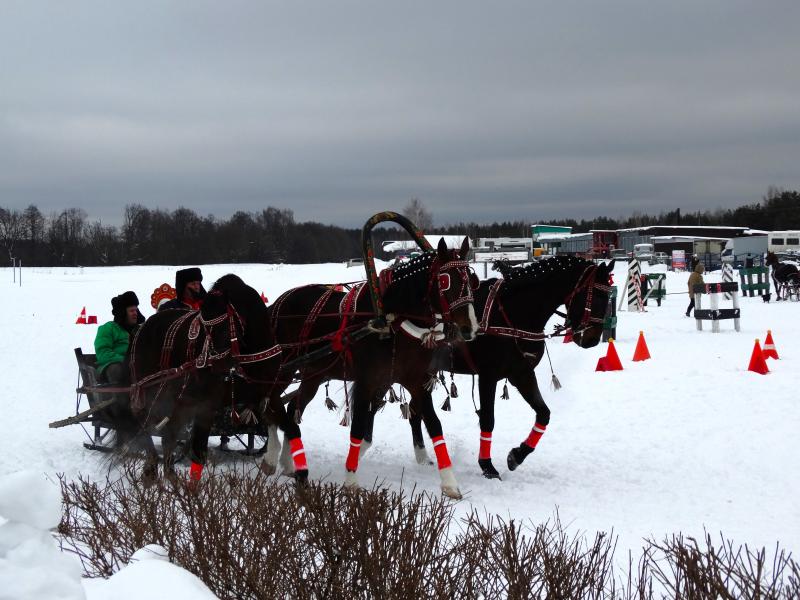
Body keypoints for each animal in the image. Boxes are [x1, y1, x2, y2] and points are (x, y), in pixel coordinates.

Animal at [119, 276, 282, 482]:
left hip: (179, 400)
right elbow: (198, 451)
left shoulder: (269, 393)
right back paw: (153, 466)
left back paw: (169, 474)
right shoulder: (207, 404)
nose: (218, 364)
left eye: (225, 326)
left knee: (168, 436)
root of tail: (142, 328)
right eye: (206, 328)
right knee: (145, 423)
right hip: (148, 389)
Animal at [262, 238, 476, 496]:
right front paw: (351, 480)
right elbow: (357, 428)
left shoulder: (416, 382)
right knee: (270, 403)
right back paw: (272, 457)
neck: (392, 321)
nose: (468, 328)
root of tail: (275, 305)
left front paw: (449, 483)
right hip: (280, 370)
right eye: (444, 281)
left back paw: (288, 461)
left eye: (471, 280)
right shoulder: (367, 383)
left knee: (293, 407)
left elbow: (434, 425)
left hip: (314, 373)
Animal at [406, 256, 620, 478]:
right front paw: (487, 465)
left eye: (608, 295)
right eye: (596, 296)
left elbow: (544, 414)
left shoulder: (522, 373)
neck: (512, 313)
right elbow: (488, 419)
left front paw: (517, 455)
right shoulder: (488, 376)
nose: (592, 339)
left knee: (414, 413)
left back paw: (422, 457)